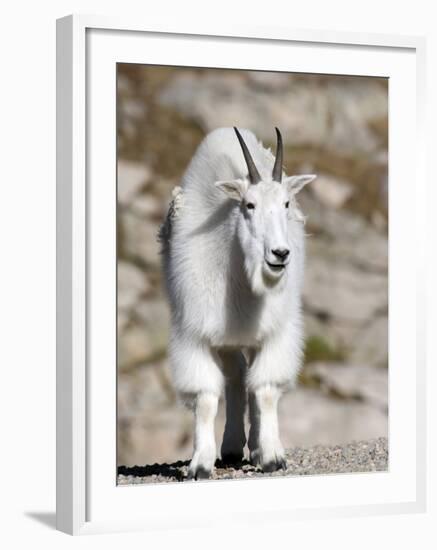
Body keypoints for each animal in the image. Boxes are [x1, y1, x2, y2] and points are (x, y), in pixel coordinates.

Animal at [158, 126, 316, 478]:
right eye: (249, 205)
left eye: (287, 203)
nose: (280, 254)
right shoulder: (196, 334)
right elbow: (205, 398)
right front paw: (200, 464)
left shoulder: (275, 333)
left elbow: (267, 389)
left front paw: (271, 457)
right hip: (227, 340)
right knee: (237, 375)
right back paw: (231, 447)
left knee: (251, 380)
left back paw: (256, 447)